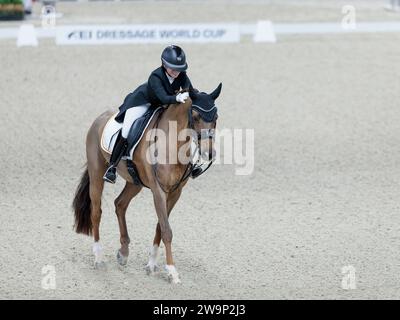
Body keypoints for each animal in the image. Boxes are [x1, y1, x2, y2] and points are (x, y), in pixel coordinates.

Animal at [72, 84, 222, 284]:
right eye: (196, 116)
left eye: (216, 117)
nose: (209, 153)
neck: (172, 144)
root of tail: (100, 117)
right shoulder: (159, 191)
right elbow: (166, 229)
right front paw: (172, 272)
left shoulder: (175, 192)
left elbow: (160, 226)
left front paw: (151, 265)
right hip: (97, 174)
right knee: (96, 212)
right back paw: (98, 258)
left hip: (135, 182)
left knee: (120, 204)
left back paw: (123, 253)